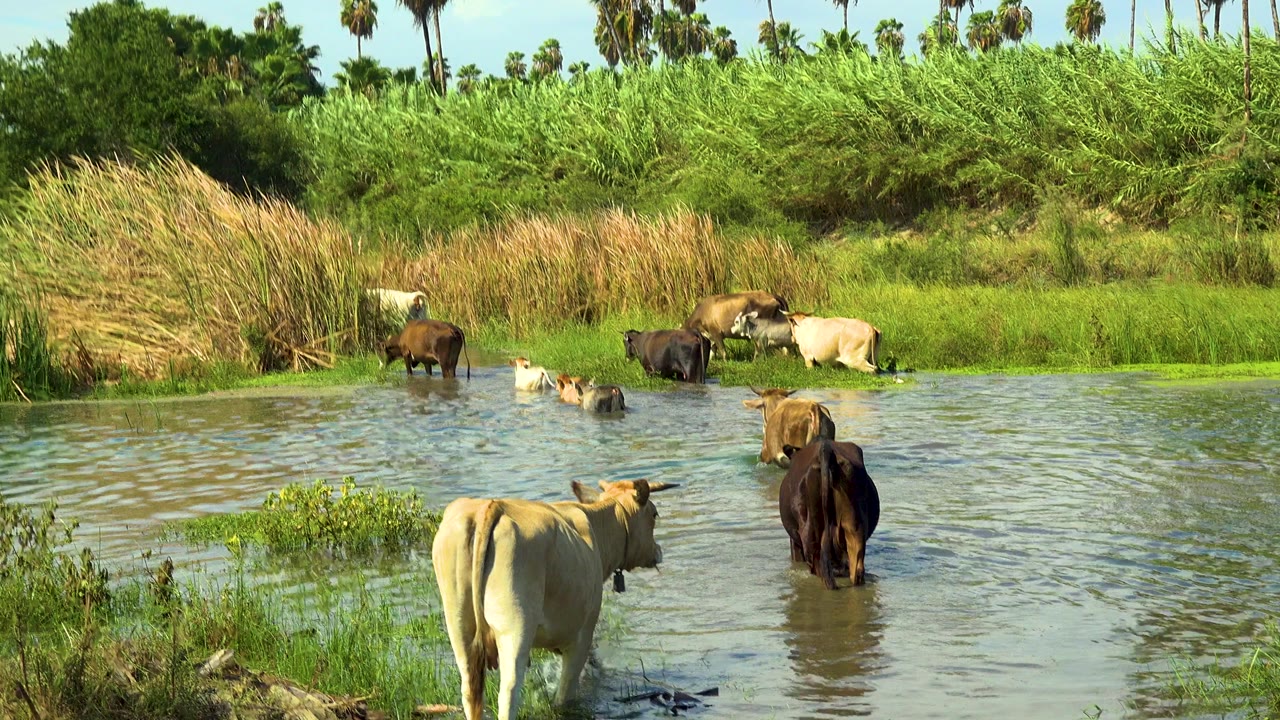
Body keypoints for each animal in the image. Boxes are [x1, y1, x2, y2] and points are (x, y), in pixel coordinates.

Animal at [432, 478, 678, 720]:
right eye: (654, 514)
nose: (658, 550)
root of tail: (490, 506)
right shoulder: (583, 633)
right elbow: (566, 692)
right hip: (515, 626)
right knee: (509, 692)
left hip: (459, 625)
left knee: (469, 690)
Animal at [778, 438, 880, 589]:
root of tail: (827, 449)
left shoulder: (794, 541)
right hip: (855, 527)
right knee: (857, 569)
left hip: (810, 532)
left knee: (822, 571)